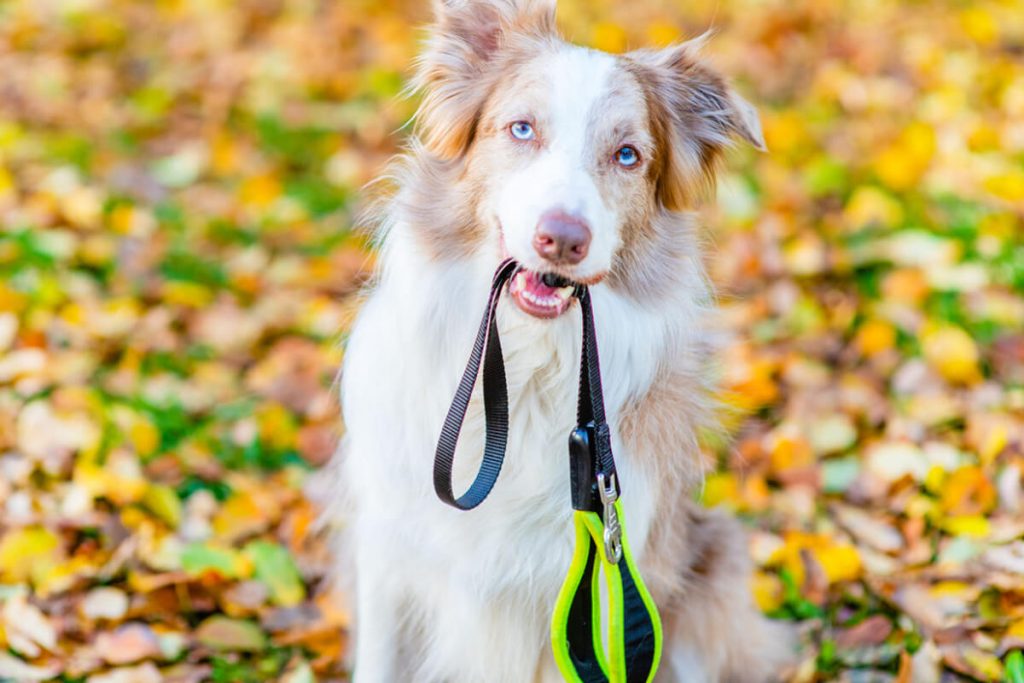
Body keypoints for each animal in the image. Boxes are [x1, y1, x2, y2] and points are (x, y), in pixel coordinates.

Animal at [327, 0, 790, 679]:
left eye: (627, 156)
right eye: (522, 130)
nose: (563, 239)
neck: (522, 368)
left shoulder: (606, 579)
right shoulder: (389, 549)